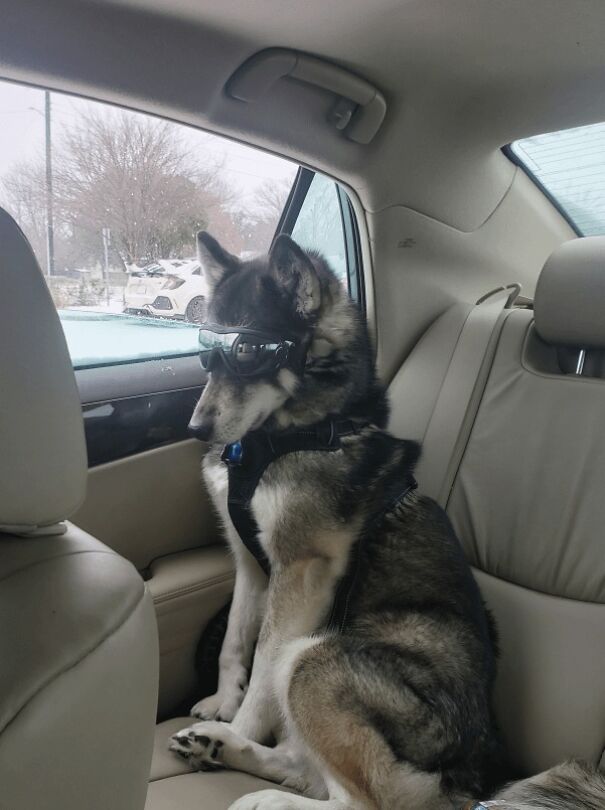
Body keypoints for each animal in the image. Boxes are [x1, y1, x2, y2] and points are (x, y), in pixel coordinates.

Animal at [168, 230, 600, 808]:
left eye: (248, 352)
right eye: (207, 352)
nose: (196, 428)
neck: (298, 432)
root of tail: (475, 773)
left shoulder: (301, 571)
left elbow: (261, 664)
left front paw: (240, 723)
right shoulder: (252, 563)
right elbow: (235, 643)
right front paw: (222, 706)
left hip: (315, 658)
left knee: (363, 799)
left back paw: (259, 786)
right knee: (305, 765)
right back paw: (218, 746)